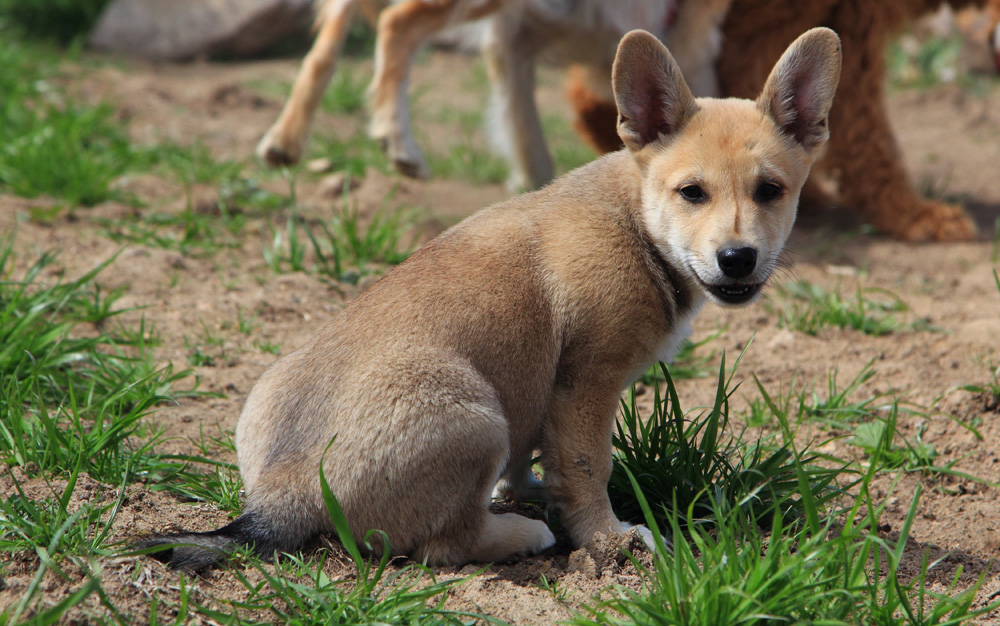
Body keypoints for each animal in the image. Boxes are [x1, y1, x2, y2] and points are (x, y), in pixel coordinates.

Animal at [145, 26, 840, 568]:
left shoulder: (543, 397)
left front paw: (533, 489)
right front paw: (608, 539)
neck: (636, 222)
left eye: (771, 191)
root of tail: (282, 494)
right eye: (692, 193)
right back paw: (521, 535)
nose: (737, 258)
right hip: (477, 418)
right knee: (442, 546)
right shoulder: (588, 384)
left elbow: (541, 460)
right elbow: (587, 470)